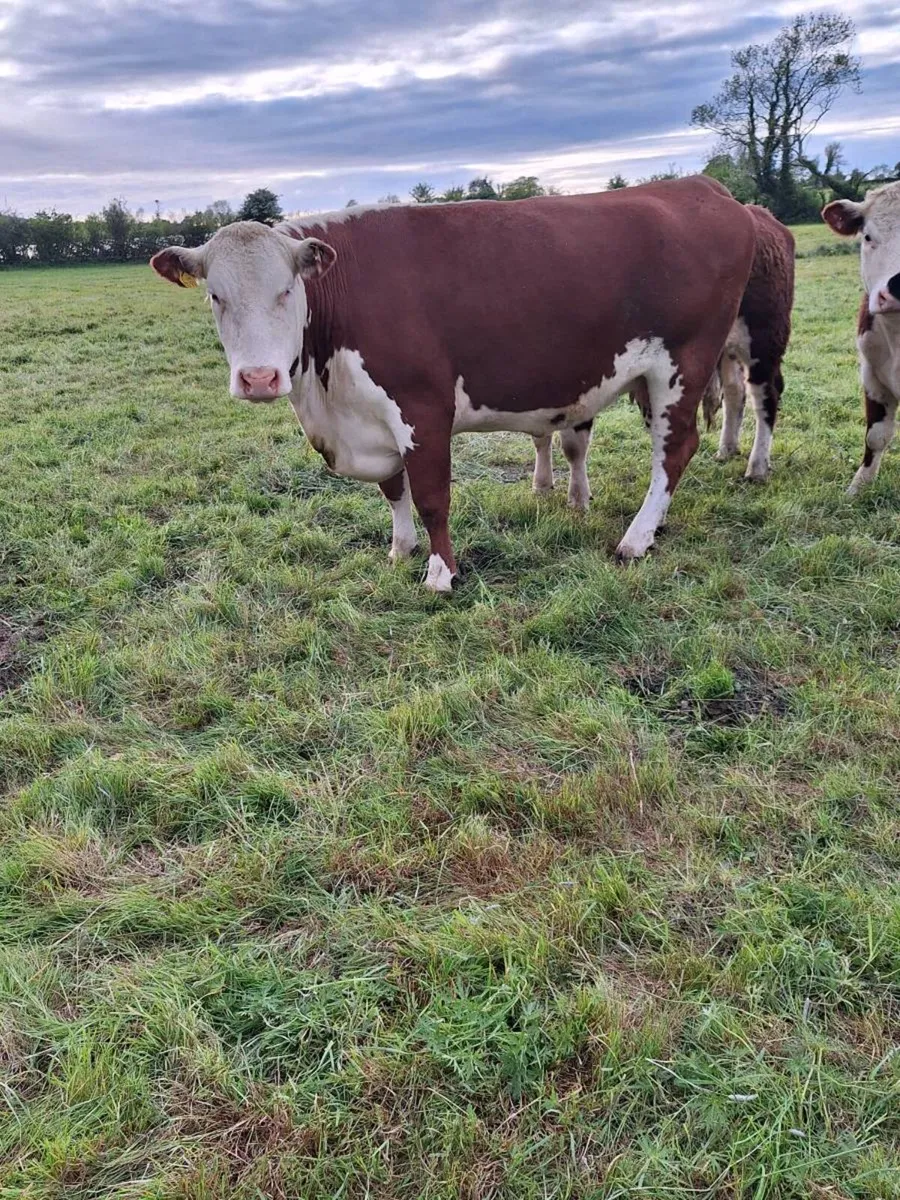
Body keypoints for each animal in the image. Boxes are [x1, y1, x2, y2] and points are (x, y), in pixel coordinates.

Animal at [150, 177, 756, 591]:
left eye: (286, 289)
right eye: (215, 296)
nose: (258, 378)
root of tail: (701, 186)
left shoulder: (422, 406)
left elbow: (432, 495)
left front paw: (440, 573)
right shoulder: (373, 417)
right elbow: (394, 489)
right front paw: (400, 551)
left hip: (683, 362)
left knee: (674, 449)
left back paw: (635, 539)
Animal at [531, 203, 795, 501]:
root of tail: (759, 213)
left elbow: (574, 445)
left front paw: (578, 498)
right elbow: (541, 435)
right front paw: (542, 485)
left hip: (764, 338)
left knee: (766, 395)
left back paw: (757, 467)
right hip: (724, 351)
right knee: (735, 391)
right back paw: (727, 449)